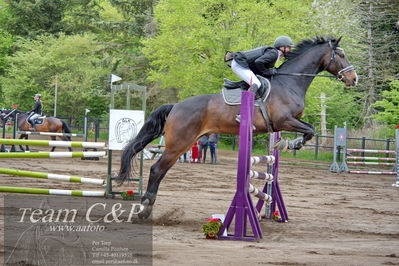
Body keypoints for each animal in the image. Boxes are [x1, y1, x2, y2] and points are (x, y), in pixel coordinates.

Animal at [117, 36, 358, 219]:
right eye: (341, 55)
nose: (354, 79)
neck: (290, 83)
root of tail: (175, 106)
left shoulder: (286, 122)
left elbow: (309, 129)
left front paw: (285, 143)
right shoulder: (284, 120)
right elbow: (309, 130)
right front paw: (291, 144)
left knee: (160, 170)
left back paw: (147, 208)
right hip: (179, 144)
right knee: (157, 170)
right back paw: (145, 209)